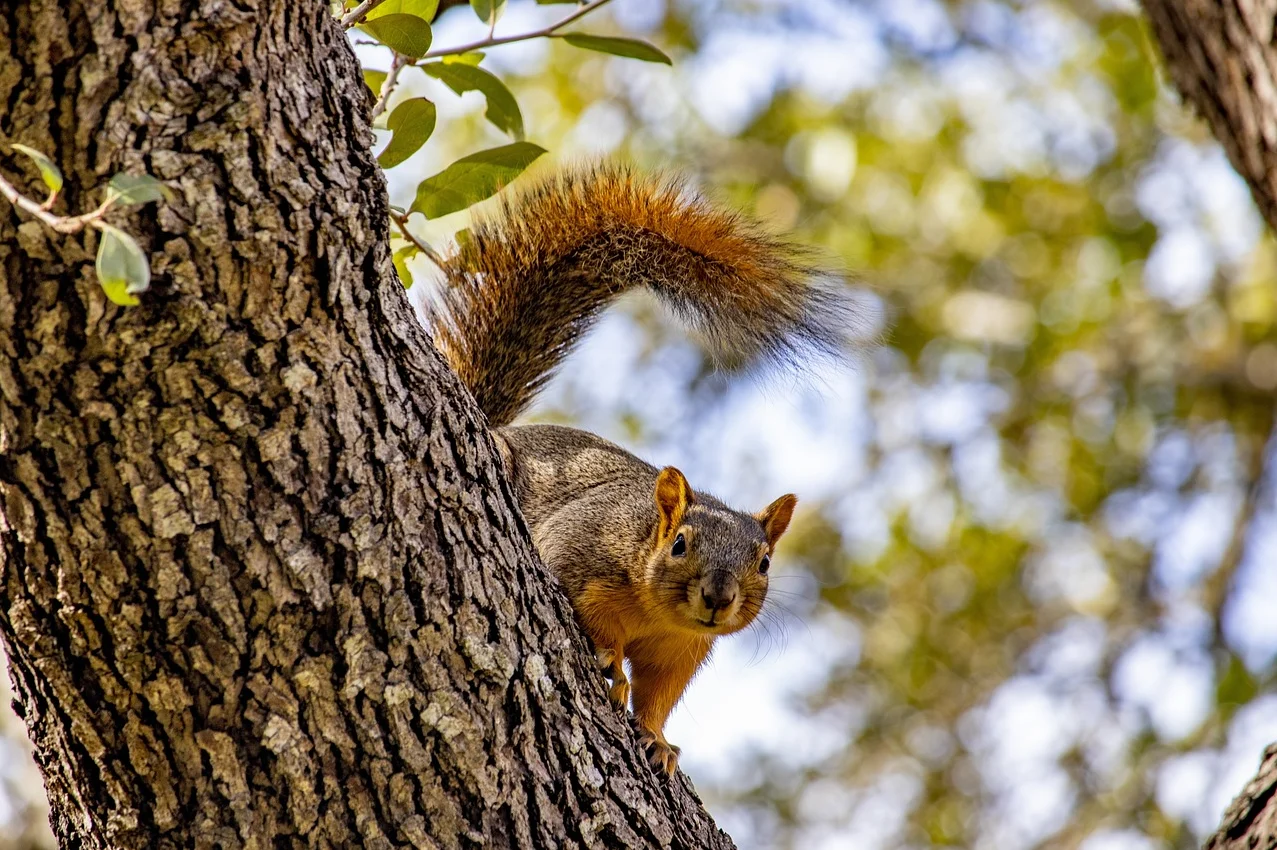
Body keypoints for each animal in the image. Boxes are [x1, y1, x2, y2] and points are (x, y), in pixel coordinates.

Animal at [429, 163, 858, 775]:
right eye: (678, 544)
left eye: (765, 563)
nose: (718, 598)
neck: (656, 612)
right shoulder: (576, 554)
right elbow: (594, 624)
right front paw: (610, 663)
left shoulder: (680, 650)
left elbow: (660, 694)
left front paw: (657, 739)